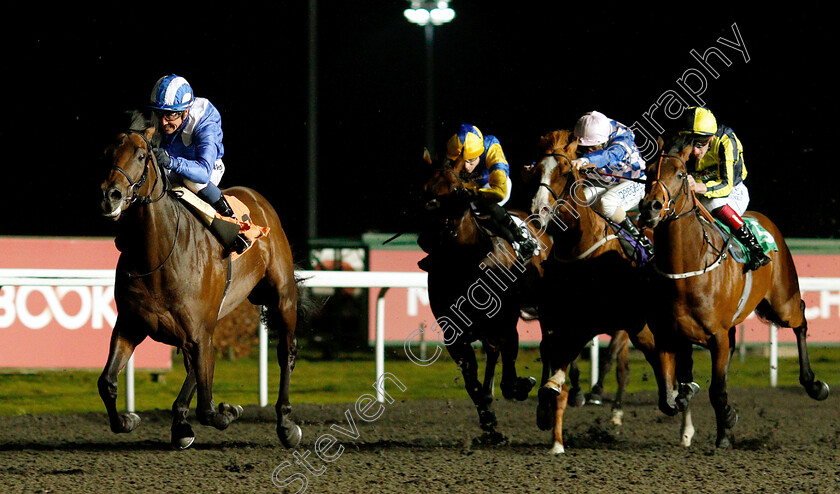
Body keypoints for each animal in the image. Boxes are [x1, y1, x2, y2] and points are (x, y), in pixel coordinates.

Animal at [98, 125, 308, 450]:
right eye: (107, 153)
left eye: (142, 155)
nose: (112, 196)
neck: (158, 254)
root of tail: (258, 199)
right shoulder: (131, 324)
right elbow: (106, 382)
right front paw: (128, 419)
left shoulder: (198, 330)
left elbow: (208, 409)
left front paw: (230, 411)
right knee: (195, 366)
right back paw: (180, 424)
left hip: (282, 296)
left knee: (286, 352)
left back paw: (286, 424)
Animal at [416, 150, 548, 440]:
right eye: (422, 189)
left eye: (455, 189)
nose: (429, 235)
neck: (465, 263)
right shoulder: (454, 332)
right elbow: (471, 378)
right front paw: (488, 418)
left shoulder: (506, 323)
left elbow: (509, 377)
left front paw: (524, 385)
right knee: (491, 354)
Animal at [532, 129, 696, 454]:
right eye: (537, 170)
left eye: (565, 171)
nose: (539, 211)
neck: (579, 248)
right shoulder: (553, 319)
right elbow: (549, 352)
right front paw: (548, 416)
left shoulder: (594, 321)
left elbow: (573, 358)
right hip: (641, 328)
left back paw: (685, 424)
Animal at [640, 134, 832, 448]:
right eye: (647, 172)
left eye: (680, 174)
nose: (650, 208)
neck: (687, 267)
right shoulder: (669, 335)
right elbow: (670, 399)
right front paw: (706, 413)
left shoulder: (716, 336)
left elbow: (717, 392)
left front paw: (726, 428)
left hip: (783, 301)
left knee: (801, 318)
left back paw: (814, 385)